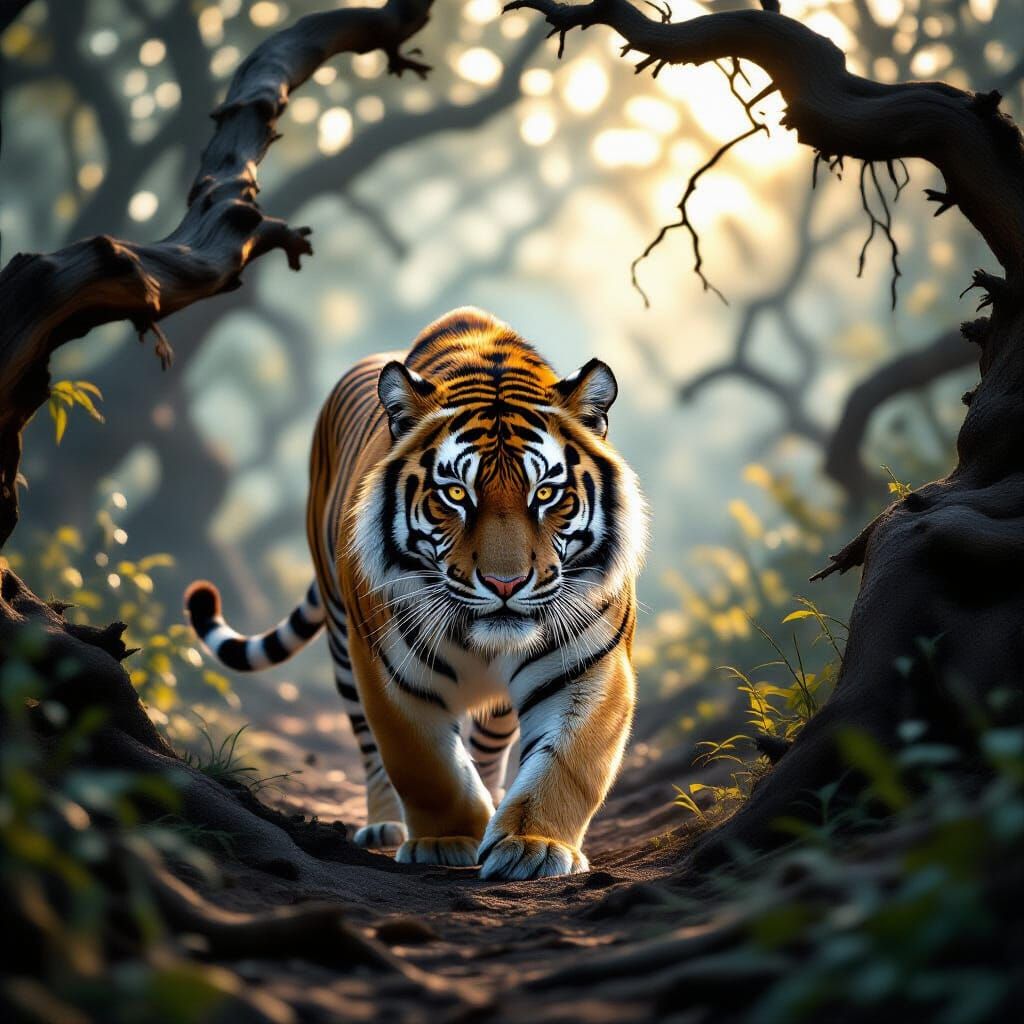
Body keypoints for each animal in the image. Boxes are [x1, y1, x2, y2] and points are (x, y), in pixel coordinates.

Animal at [185, 307, 647, 880]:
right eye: (455, 494)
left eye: (545, 493)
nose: (505, 584)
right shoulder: (388, 669)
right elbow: (424, 764)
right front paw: (447, 840)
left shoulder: (589, 665)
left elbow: (568, 761)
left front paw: (532, 845)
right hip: (342, 643)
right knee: (369, 749)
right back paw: (386, 824)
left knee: (490, 747)